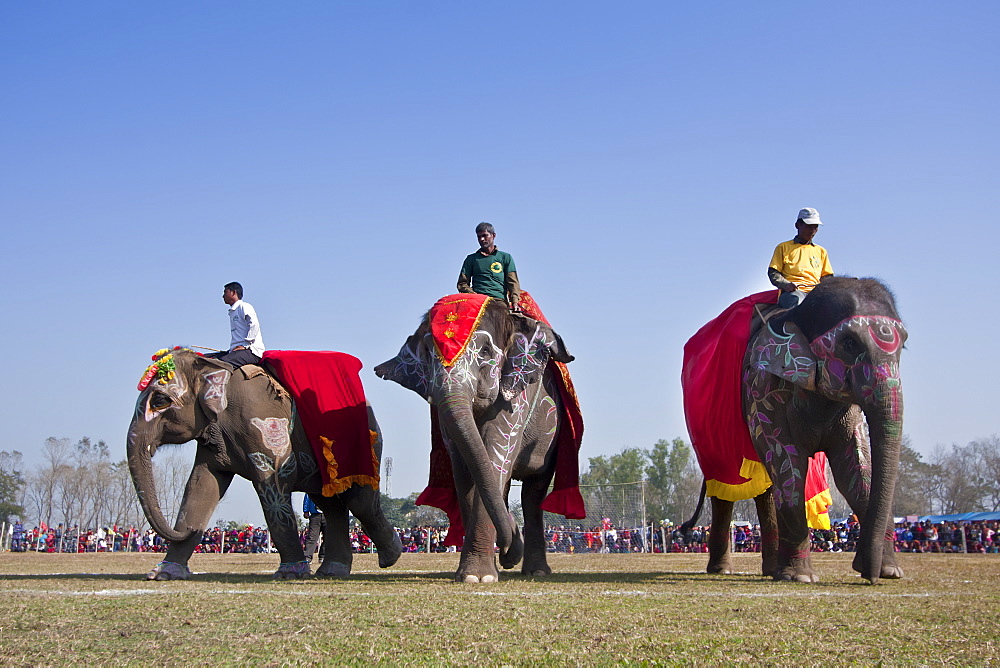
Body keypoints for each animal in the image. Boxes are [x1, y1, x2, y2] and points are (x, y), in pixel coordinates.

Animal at [126, 350, 402, 580]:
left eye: (160, 401)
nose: (195, 531)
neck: (213, 366)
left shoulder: (264, 423)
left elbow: (273, 490)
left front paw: (290, 574)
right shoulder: (213, 435)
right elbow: (201, 486)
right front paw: (163, 574)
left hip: (367, 443)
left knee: (359, 501)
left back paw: (390, 557)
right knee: (331, 505)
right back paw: (333, 571)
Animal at [376, 298, 580, 584]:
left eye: (485, 351)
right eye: (427, 353)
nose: (509, 550)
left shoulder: (516, 399)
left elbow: (494, 457)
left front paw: (478, 577)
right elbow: (466, 470)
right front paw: (479, 573)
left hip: (552, 436)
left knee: (533, 492)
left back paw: (536, 571)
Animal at [688, 278, 908, 584]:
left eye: (904, 345)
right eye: (849, 342)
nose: (868, 573)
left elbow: (854, 472)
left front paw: (890, 572)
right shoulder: (762, 386)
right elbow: (788, 465)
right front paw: (801, 578)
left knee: (765, 486)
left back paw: (771, 571)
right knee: (727, 486)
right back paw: (725, 570)